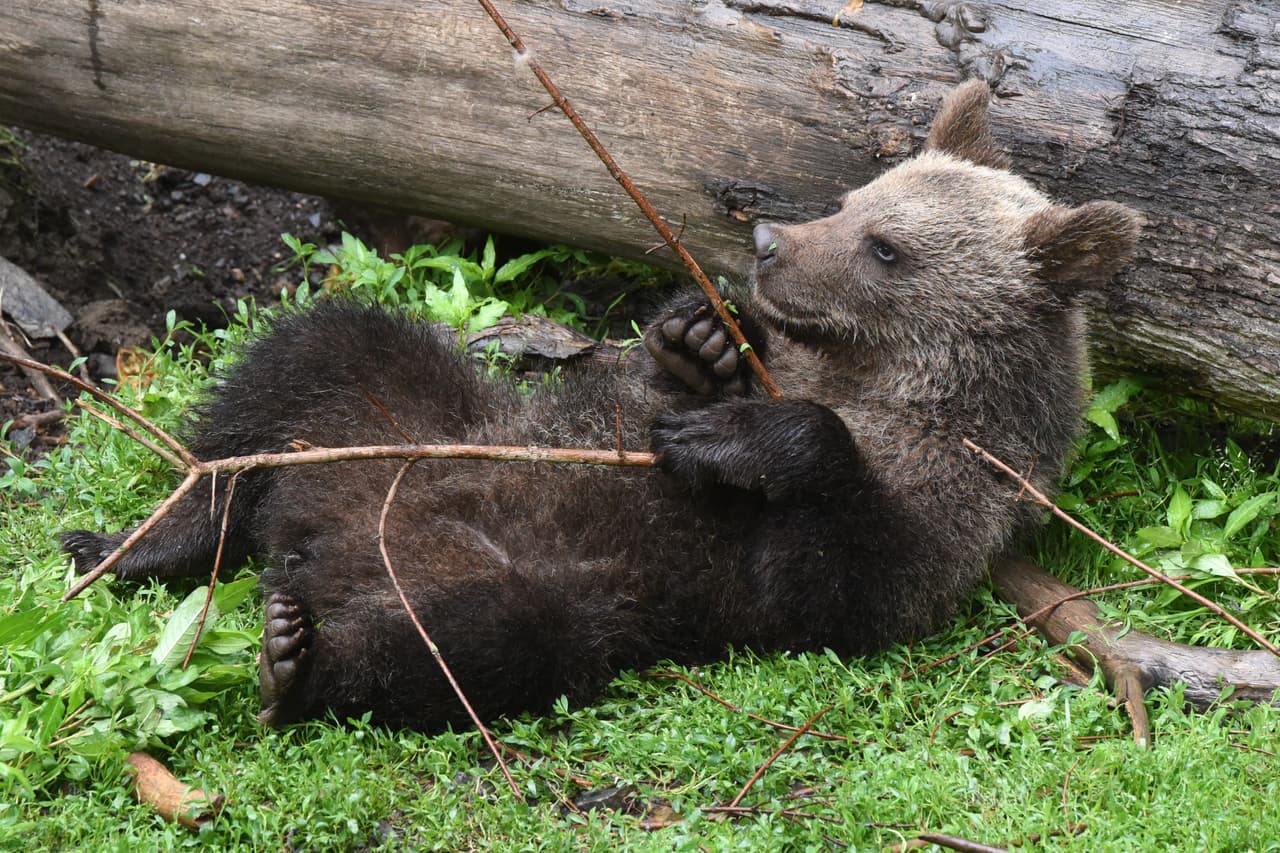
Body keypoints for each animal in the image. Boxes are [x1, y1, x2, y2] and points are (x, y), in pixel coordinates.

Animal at [61, 81, 1141, 730]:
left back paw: (294, 663)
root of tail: (309, 537)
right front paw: (700, 347)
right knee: (305, 361)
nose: (768, 245)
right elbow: (654, 376)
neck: (869, 376)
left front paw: (738, 435)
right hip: (408, 415)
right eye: (855, 197)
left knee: (473, 644)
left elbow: (825, 572)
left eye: (888, 248)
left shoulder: (942, 507)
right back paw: (127, 542)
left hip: (555, 591)